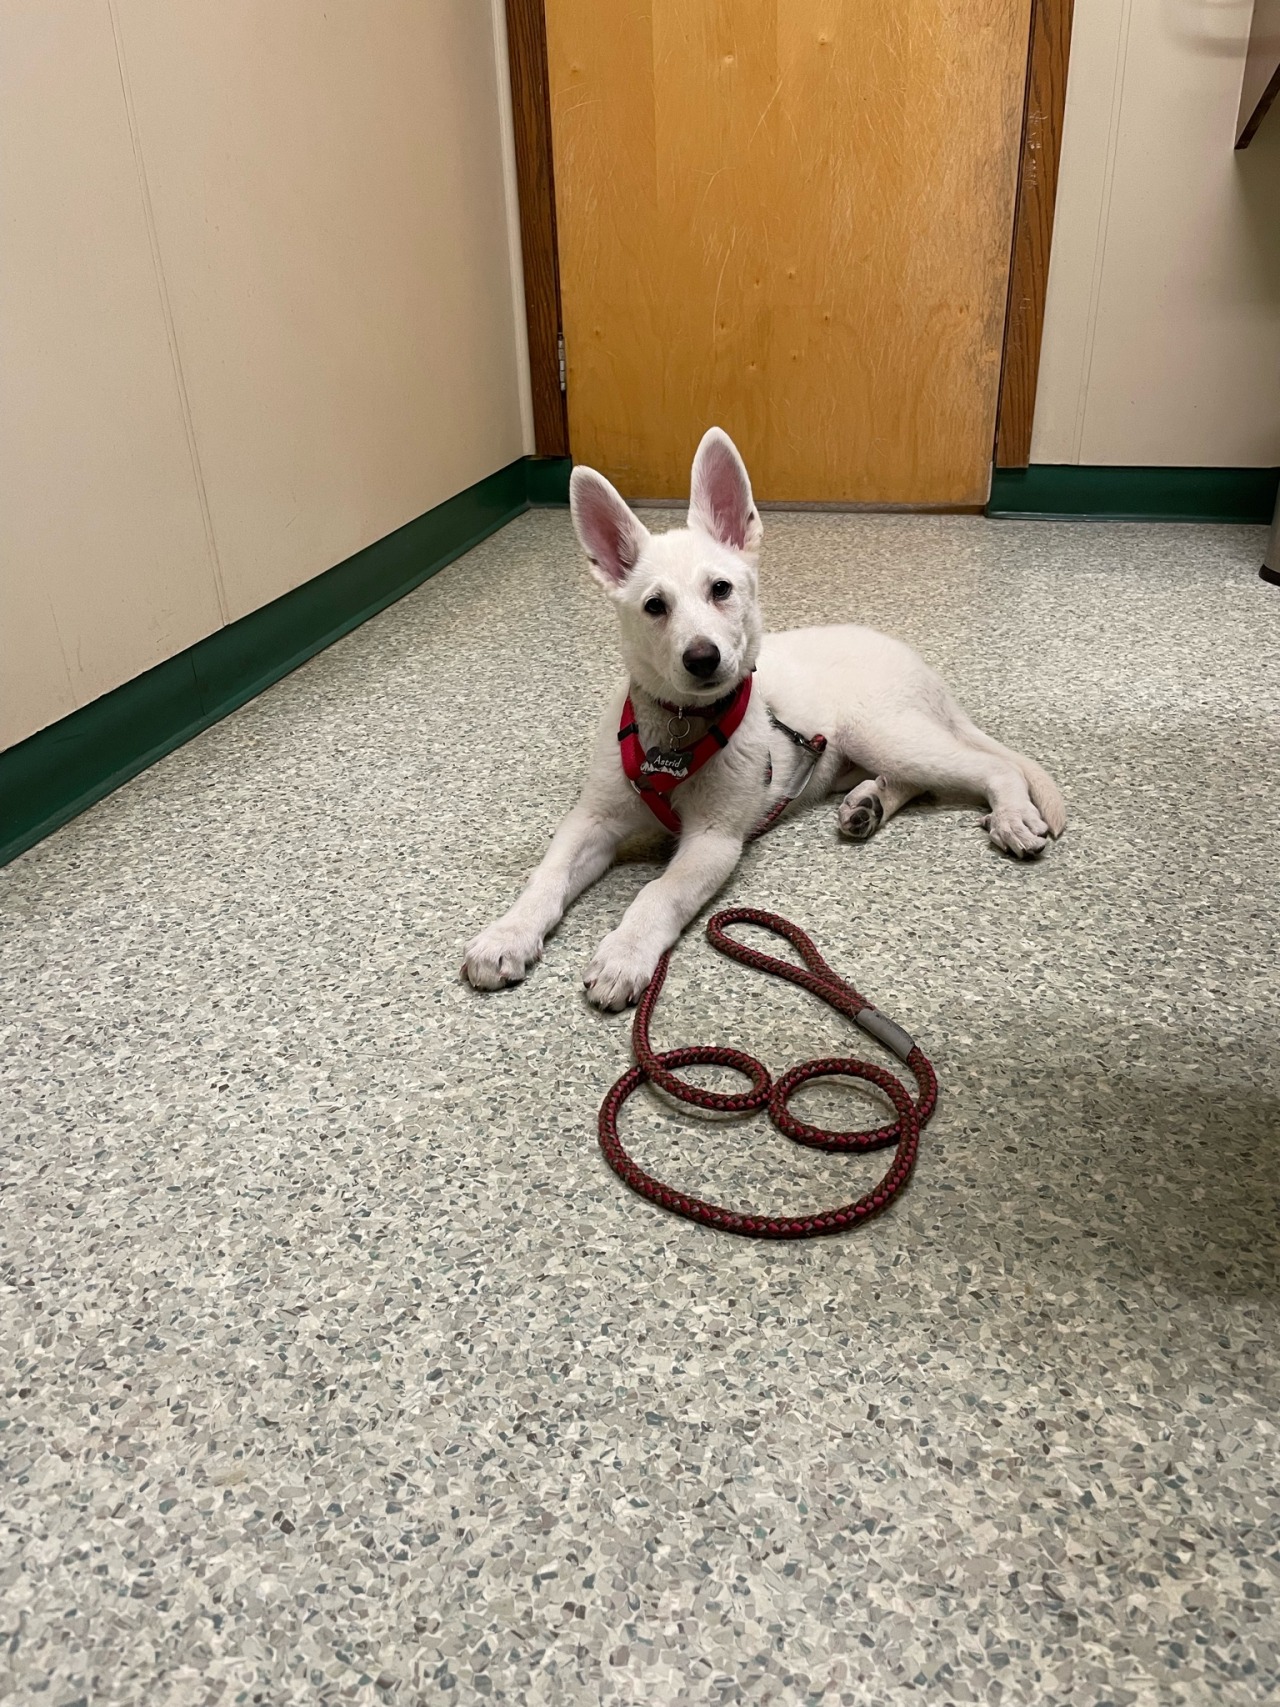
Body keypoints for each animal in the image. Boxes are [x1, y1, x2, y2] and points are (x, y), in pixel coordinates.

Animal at [467, 433, 1064, 1003]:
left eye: (721, 589)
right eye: (655, 606)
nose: (703, 659)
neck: (680, 728)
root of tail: (919, 663)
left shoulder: (714, 839)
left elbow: (658, 893)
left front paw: (625, 954)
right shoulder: (592, 819)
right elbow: (547, 876)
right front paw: (507, 934)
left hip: (882, 732)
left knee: (988, 768)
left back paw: (1010, 816)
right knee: (917, 781)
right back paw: (868, 805)